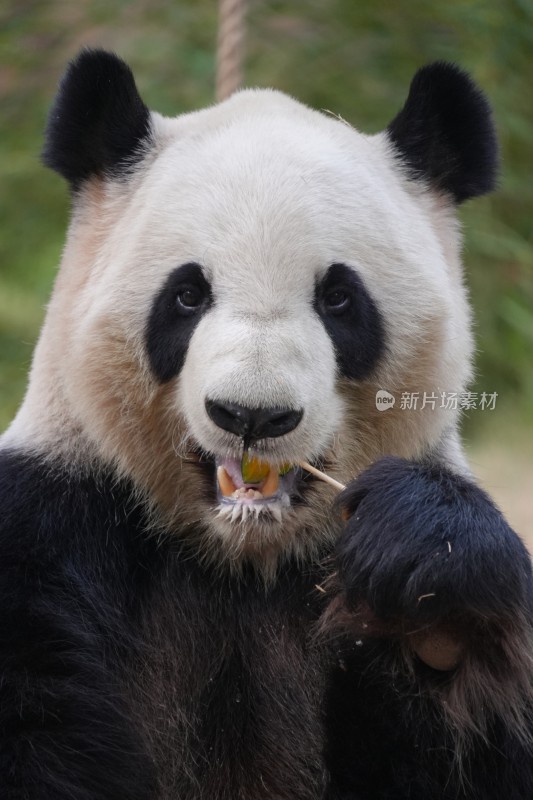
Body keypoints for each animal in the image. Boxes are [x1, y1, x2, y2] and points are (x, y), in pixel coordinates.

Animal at [1, 50, 532, 800]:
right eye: (186, 295)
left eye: (338, 298)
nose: (252, 415)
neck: (240, 561)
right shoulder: (51, 520)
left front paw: (434, 603)